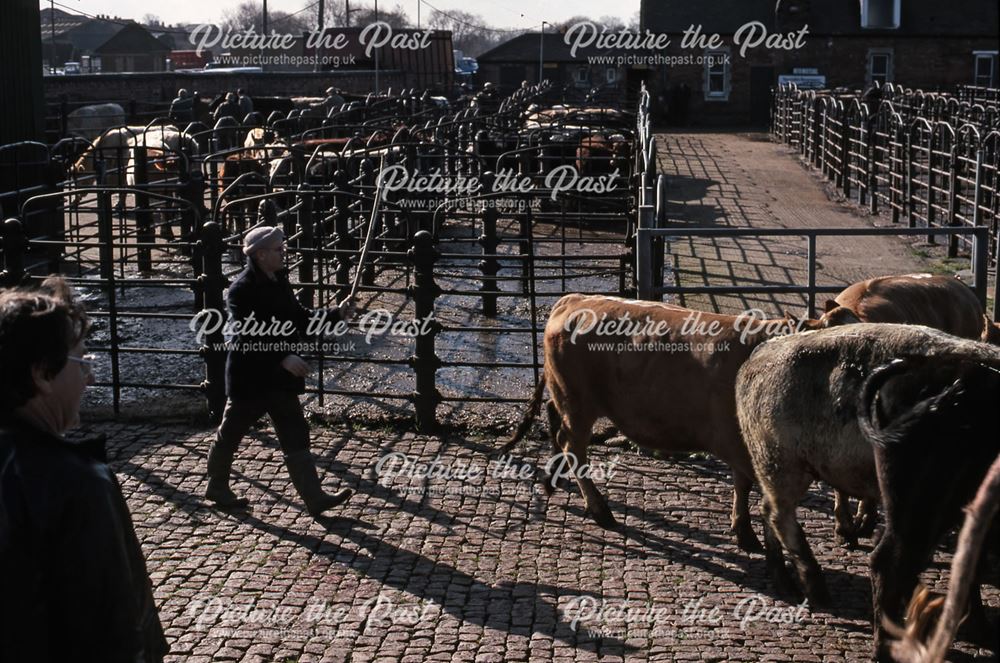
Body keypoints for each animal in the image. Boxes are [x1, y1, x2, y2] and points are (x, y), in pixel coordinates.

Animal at [500, 296, 812, 556]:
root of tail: (573, 300)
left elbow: (743, 485)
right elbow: (747, 485)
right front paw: (749, 534)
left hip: (564, 396)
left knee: (554, 418)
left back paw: (554, 477)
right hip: (578, 403)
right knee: (572, 446)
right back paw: (600, 510)